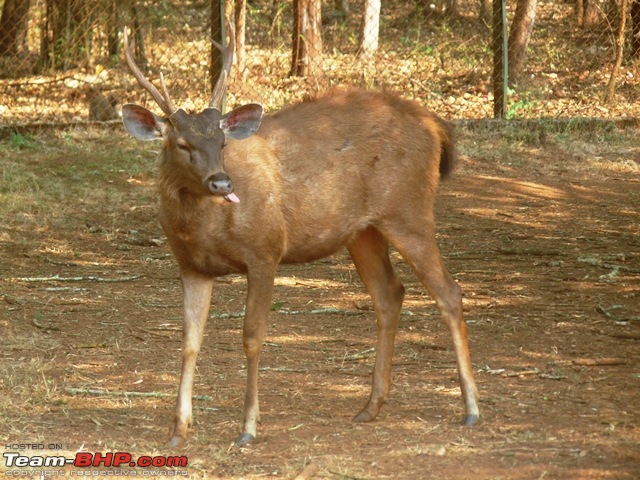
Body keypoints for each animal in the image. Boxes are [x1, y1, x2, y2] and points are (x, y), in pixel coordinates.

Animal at [120, 31, 480, 450]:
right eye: (181, 144)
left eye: (222, 142)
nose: (222, 182)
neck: (202, 228)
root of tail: (435, 125)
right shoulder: (191, 266)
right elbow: (189, 342)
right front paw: (178, 430)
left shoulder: (265, 251)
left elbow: (252, 336)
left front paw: (248, 427)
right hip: (363, 231)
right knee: (390, 293)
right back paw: (370, 406)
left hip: (409, 212)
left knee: (449, 292)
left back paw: (471, 408)